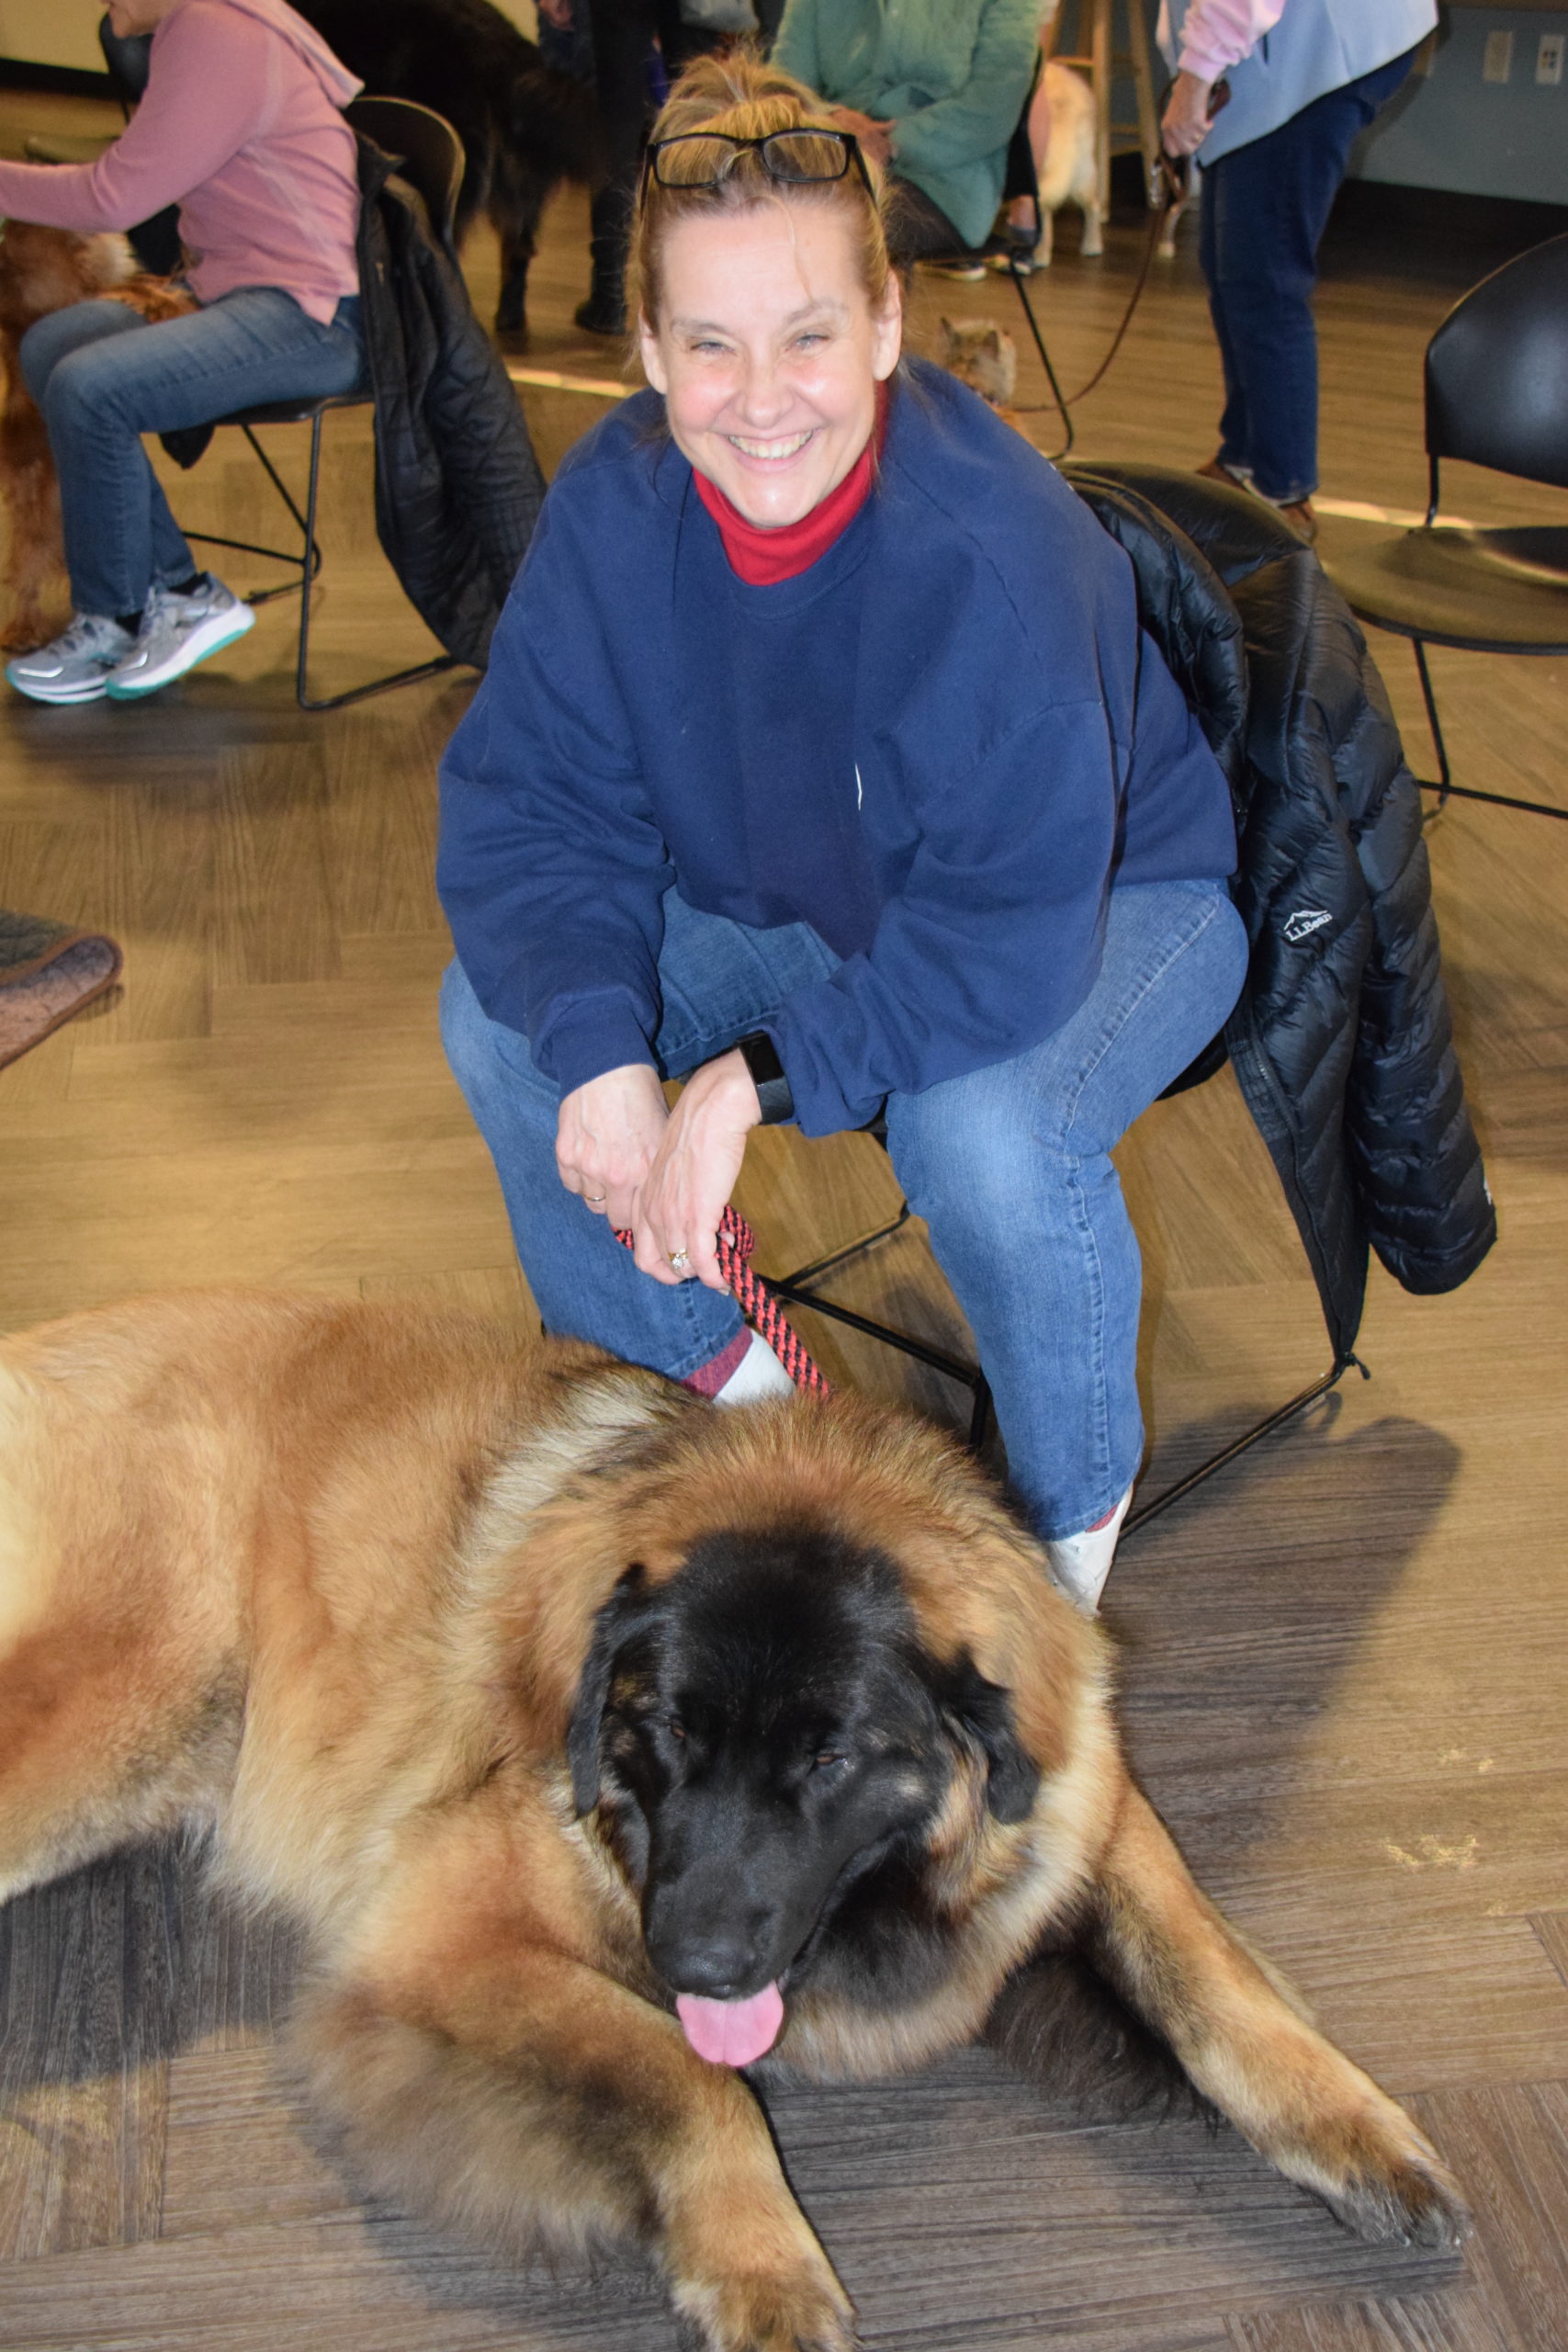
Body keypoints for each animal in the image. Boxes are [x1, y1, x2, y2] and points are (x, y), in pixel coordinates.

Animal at [0, 220, 192, 649]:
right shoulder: (61, 298)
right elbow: (134, 290)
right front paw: (175, 304)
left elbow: (141, 282)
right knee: (28, 564)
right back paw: (25, 629)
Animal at [0, 1298, 1476, 2342]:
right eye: (660, 1736)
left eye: (830, 1759)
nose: (699, 1962)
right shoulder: (443, 1942)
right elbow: (685, 2076)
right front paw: (761, 2268)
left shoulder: (1082, 1794)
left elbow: (1212, 1972)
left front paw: (1353, 2126)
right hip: (128, 1700)